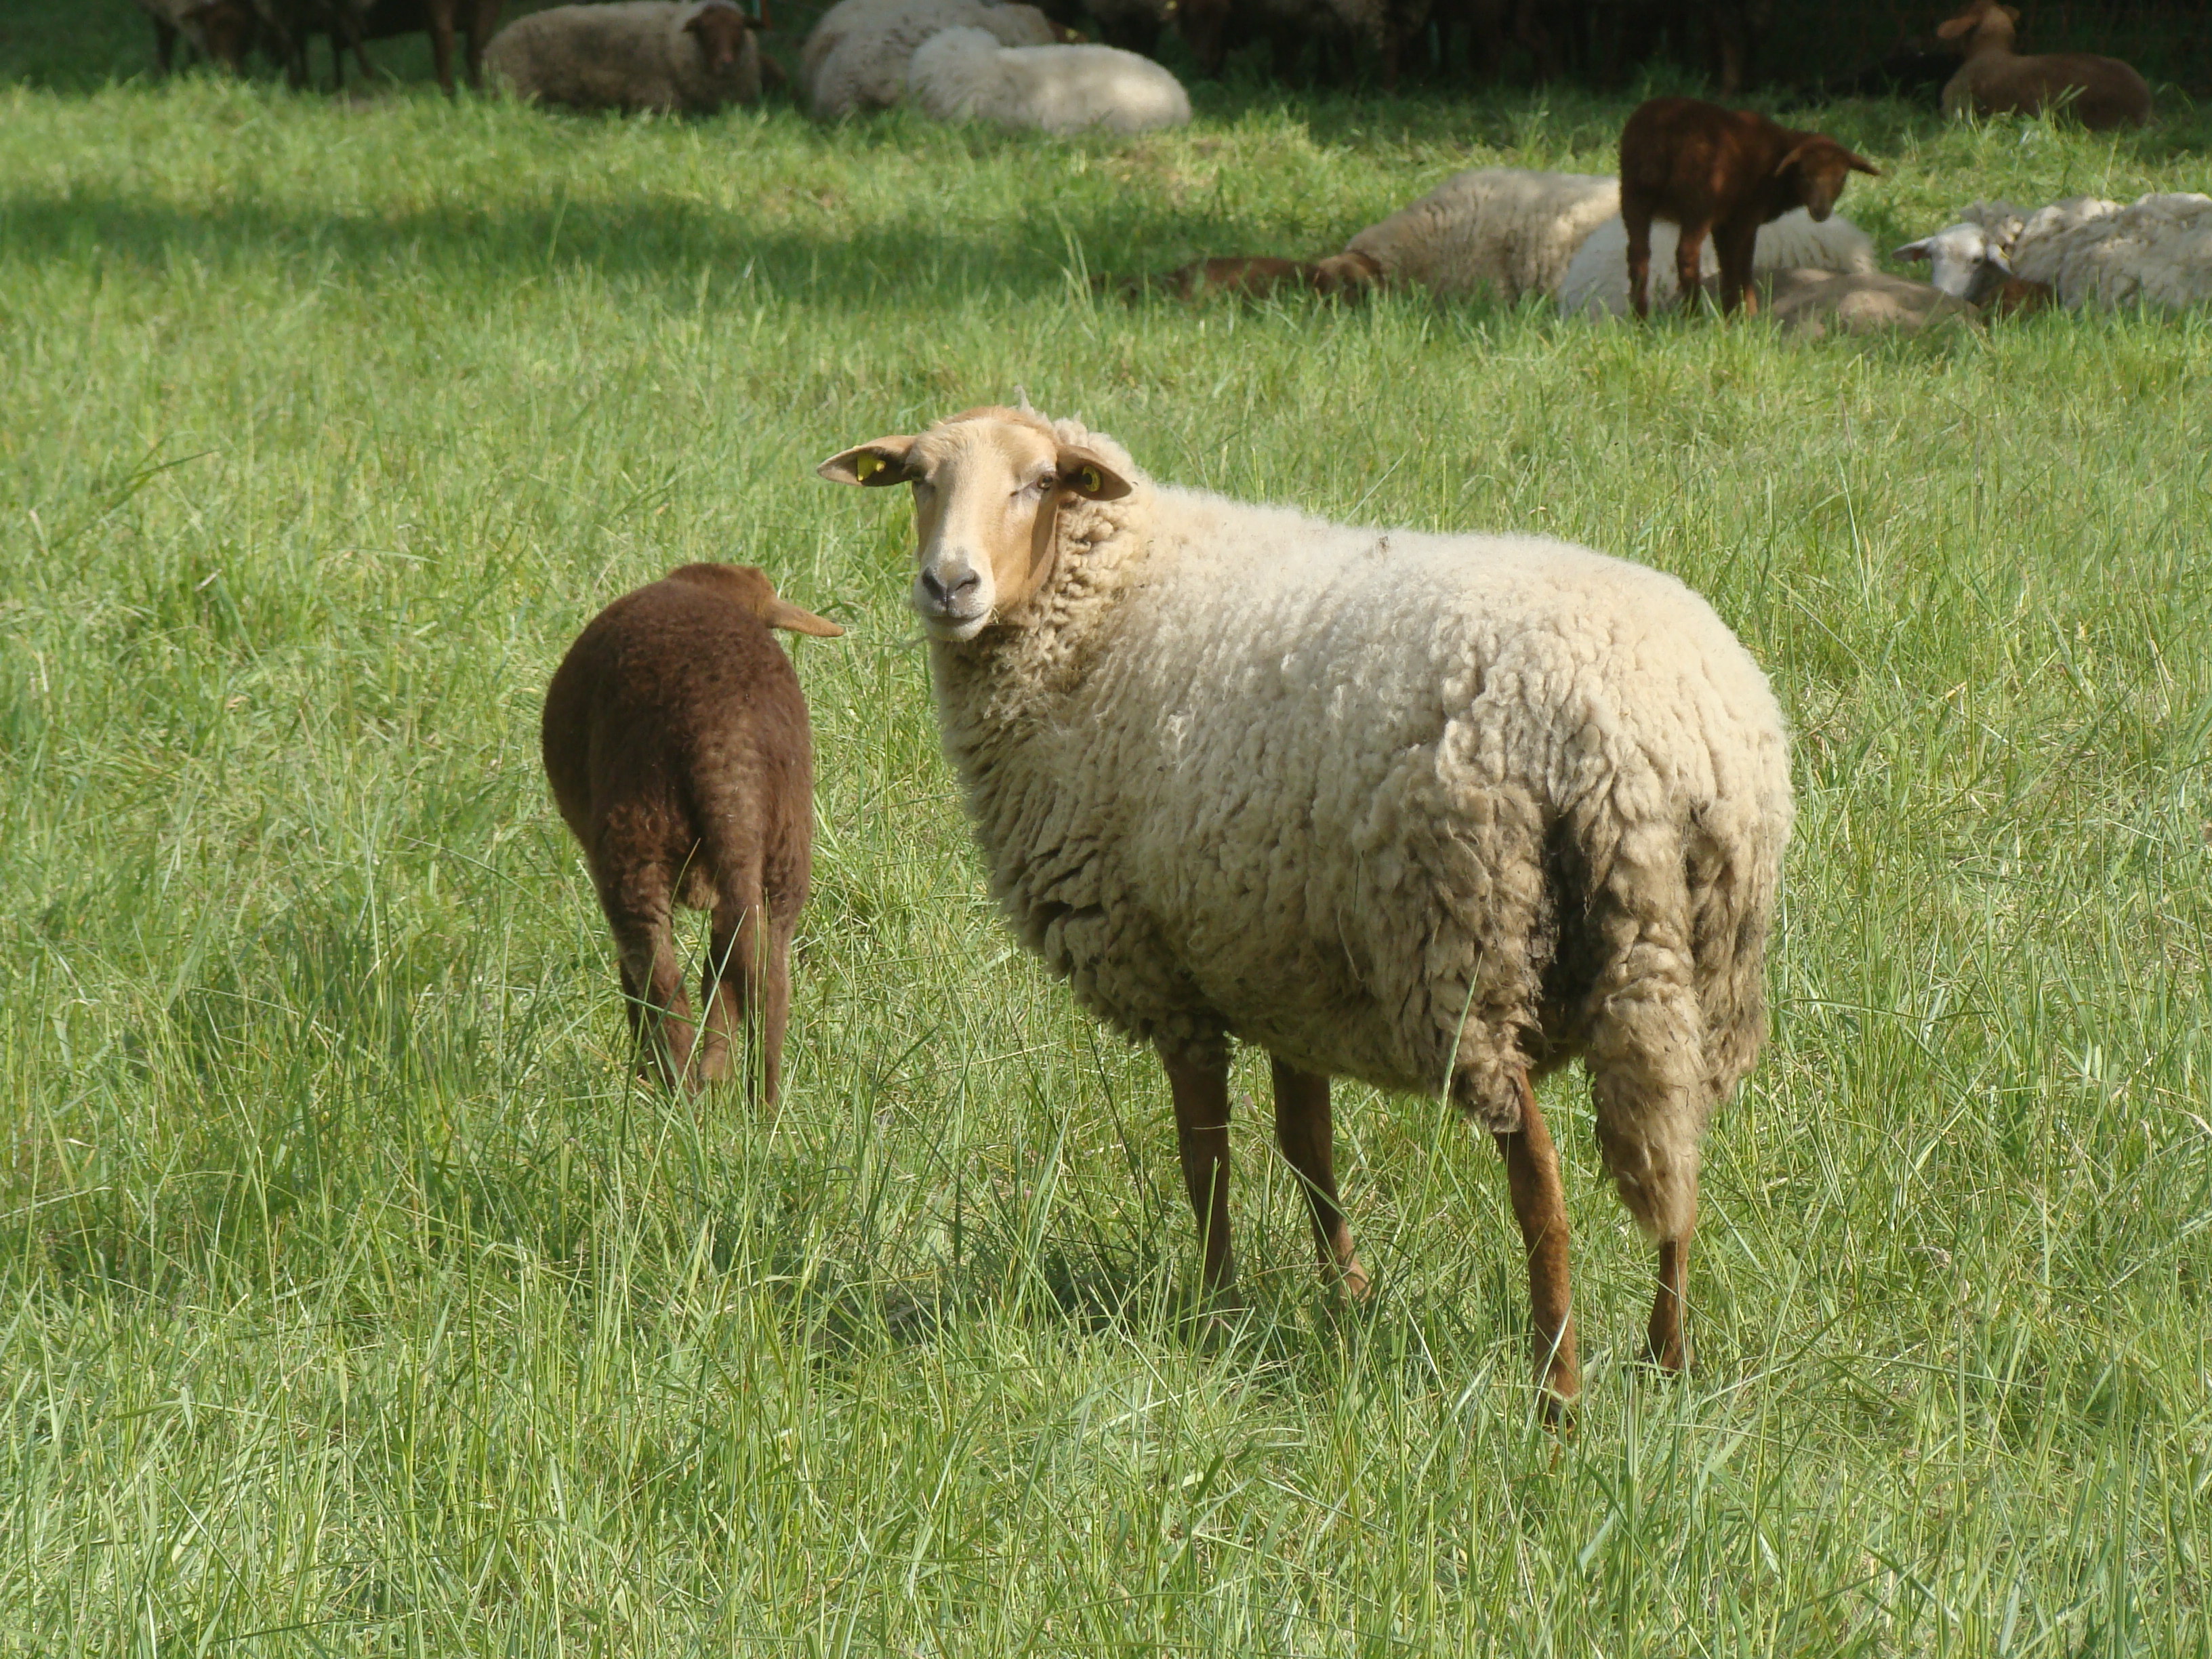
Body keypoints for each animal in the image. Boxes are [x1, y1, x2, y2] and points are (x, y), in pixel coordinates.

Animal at [485, 1, 761, 113]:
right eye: (706, 31)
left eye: (739, 30)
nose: (727, 64)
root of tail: (495, 42)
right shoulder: (657, 92)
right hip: (520, 88)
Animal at [541, 563, 843, 1102]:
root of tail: (723, 734)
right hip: (781, 851)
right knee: (761, 975)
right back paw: (756, 1103)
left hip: (634, 840)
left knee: (661, 985)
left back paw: (672, 1096)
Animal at [817, 404, 1792, 1414]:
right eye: (920, 479)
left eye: (1040, 482)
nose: (949, 584)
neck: (1108, 609)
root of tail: (1643, 738)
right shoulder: (1283, 967)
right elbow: (1306, 1147)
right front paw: (1345, 1296)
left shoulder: (1168, 972)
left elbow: (1205, 1156)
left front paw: (1215, 1310)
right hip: (1697, 962)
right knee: (1676, 1154)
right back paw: (1668, 1360)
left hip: (1468, 945)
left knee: (1542, 1184)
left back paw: (1555, 1389)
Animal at [1617, 96, 1879, 319]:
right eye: (1804, 175)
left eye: (1842, 177)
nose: (1821, 211)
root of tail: (1661, 133)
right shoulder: (1745, 216)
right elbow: (1741, 266)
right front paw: (1745, 316)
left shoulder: (1722, 223)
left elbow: (1727, 266)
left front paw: (1731, 312)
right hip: (1698, 198)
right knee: (1686, 254)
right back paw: (1694, 316)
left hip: (1633, 193)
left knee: (1638, 254)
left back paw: (1640, 319)